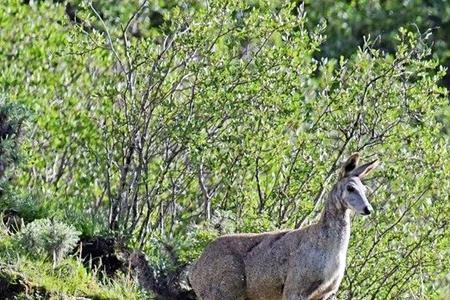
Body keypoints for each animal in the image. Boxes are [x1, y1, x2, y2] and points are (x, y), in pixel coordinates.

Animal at [188, 154, 378, 298]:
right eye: (350, 188)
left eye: (365, 190)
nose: (368, 209)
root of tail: (194, 272)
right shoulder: (295, 284)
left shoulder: (326, 293)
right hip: (224, 288)